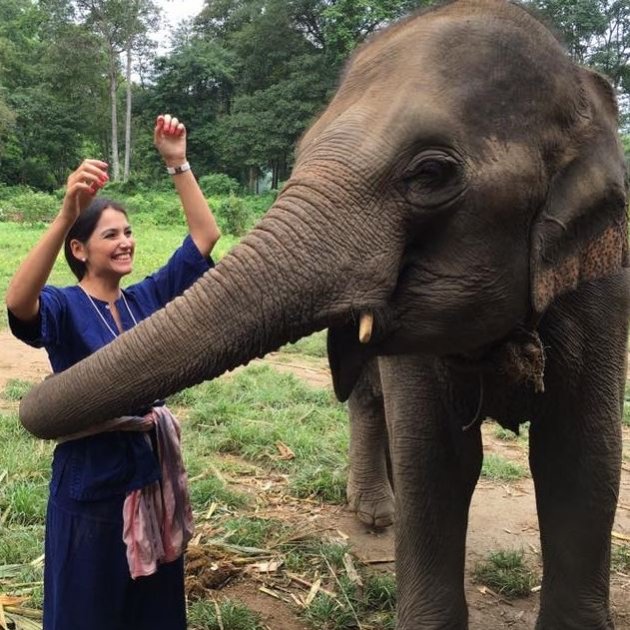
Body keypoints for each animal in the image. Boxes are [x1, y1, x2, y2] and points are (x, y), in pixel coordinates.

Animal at [18, 2, 630, 628]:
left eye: (430, 173)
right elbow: (436, 462)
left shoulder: (607, 284)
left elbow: (582, 460)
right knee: (370, 403)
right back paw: (376, 513)